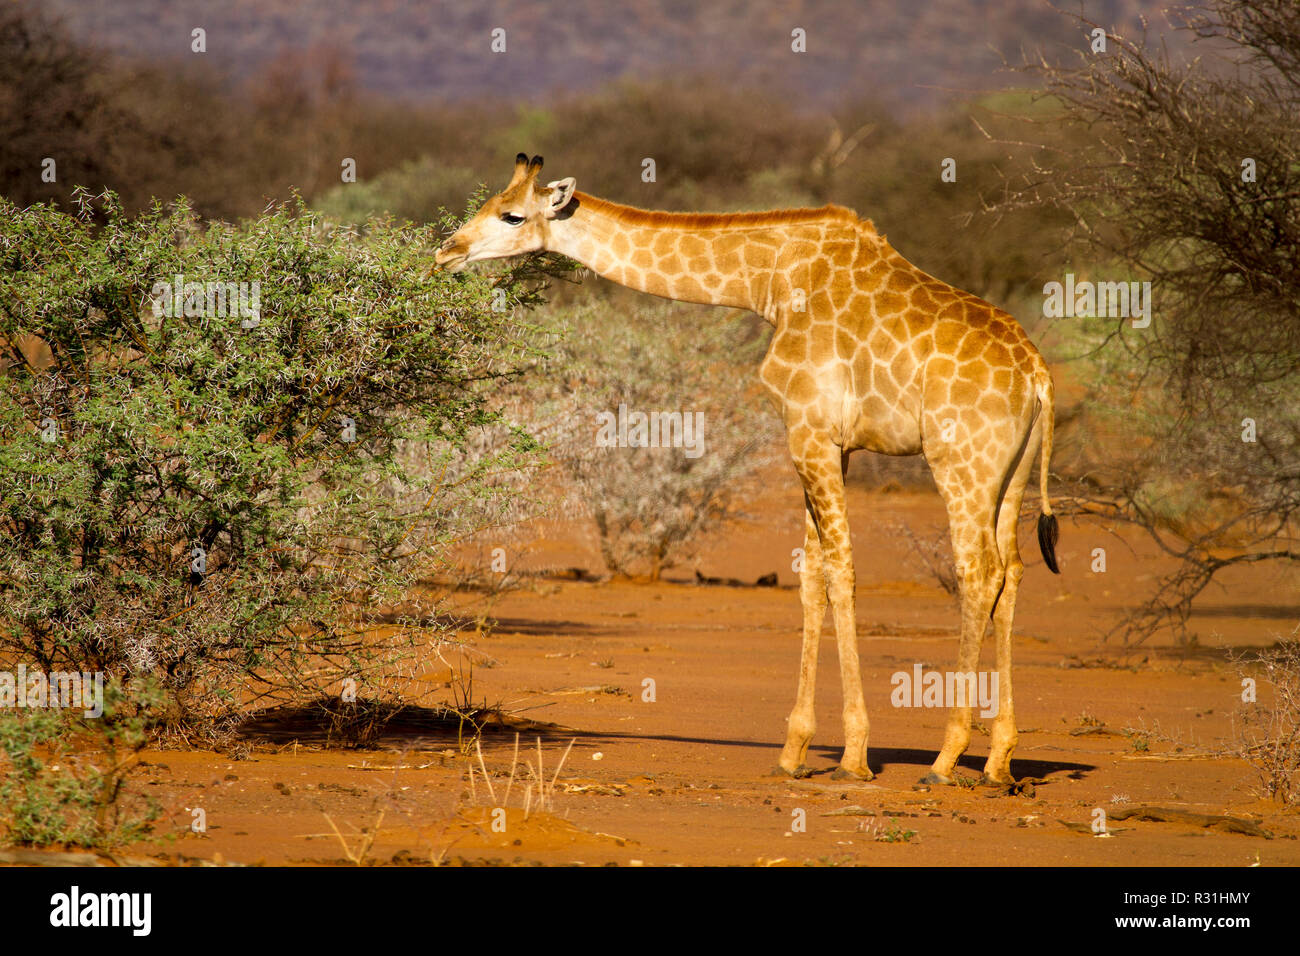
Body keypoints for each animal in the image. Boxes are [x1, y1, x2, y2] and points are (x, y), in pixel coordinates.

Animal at [436, 155, 1055, 785]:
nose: (446, 251)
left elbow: (841, 572)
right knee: (1012, 570)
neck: (770, 283)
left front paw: (854, 755)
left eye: (512, 215)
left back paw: (946, 758)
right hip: (1011, 474)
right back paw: (999, 760)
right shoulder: (833, 445)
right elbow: (812, 577)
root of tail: (1037, 376)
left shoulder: (808, 430)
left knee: (978, 571)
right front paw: (794, 748)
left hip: (960, 462)